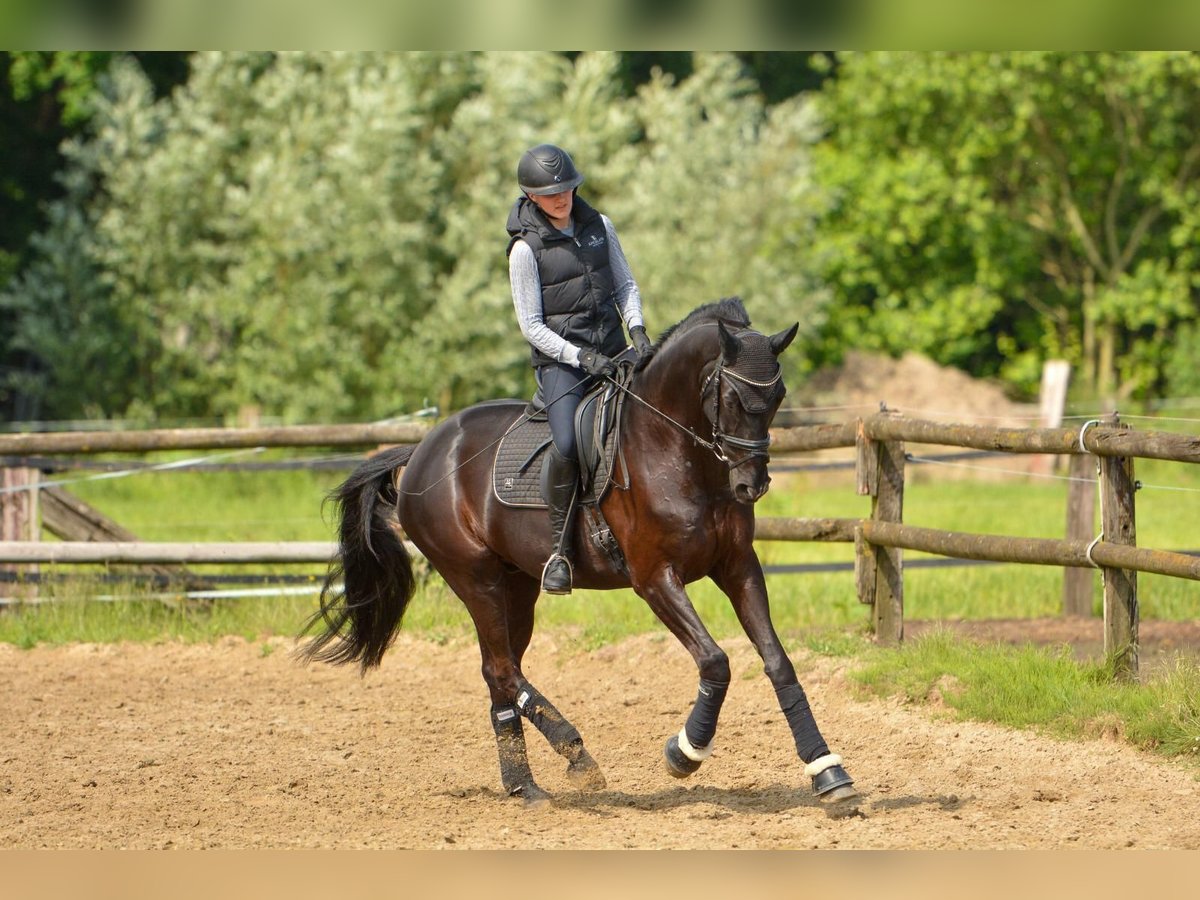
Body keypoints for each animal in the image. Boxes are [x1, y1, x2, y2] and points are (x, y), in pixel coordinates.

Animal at [302, 297, 864, 811]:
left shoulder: (737, 566)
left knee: (497, 669)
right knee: (502, 669)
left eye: (778, 397)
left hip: (516, 586)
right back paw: (576, 754)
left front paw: (827, 772)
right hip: (474, 577)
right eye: (731, 396)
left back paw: (524, 785)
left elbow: (778, 662)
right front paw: (684, 753)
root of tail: (420, 451)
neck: (676, 451)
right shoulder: (654, 578)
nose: (753, 484)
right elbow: (715, 661)